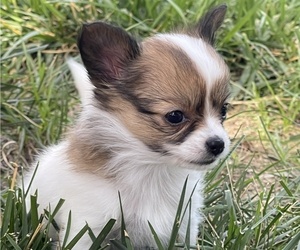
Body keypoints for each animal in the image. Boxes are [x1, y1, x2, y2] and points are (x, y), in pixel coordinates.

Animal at [24, 4, 231, 249]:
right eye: (175, 116)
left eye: (224, 110)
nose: (218, 144)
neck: (152, 168)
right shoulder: (88, 225)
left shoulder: (184, 224)